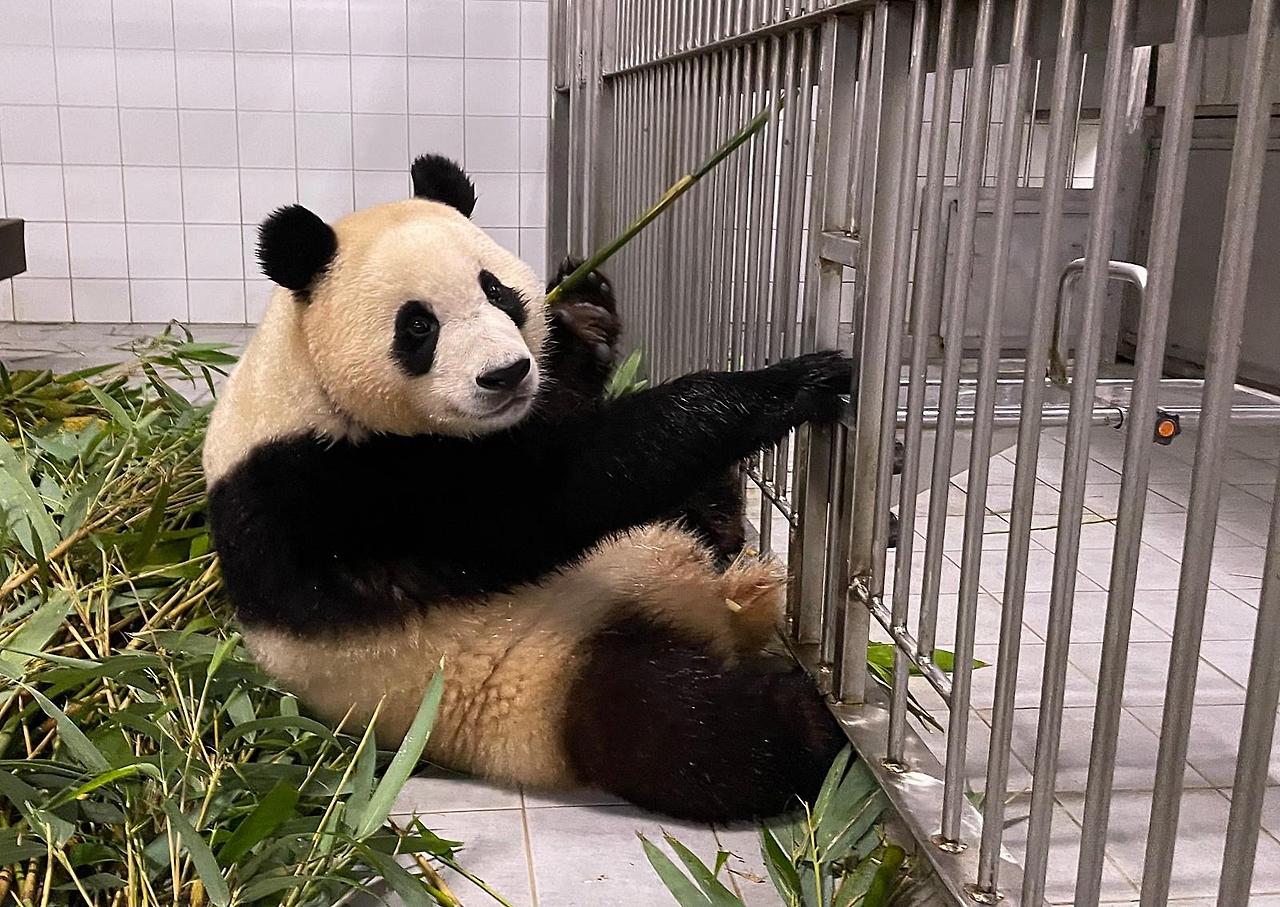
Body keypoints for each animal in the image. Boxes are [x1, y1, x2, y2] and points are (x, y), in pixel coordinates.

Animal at [204, 153, 852, 823]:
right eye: (418, 326)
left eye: (496, 291)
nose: (505, 374)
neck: (300, 377)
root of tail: (712, 618)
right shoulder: (335, 487)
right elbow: (555, 492)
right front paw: (788, 385)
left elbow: (561, 403)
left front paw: (583, 307)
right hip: (533, 681)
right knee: (681, 729)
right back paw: (810, 724)